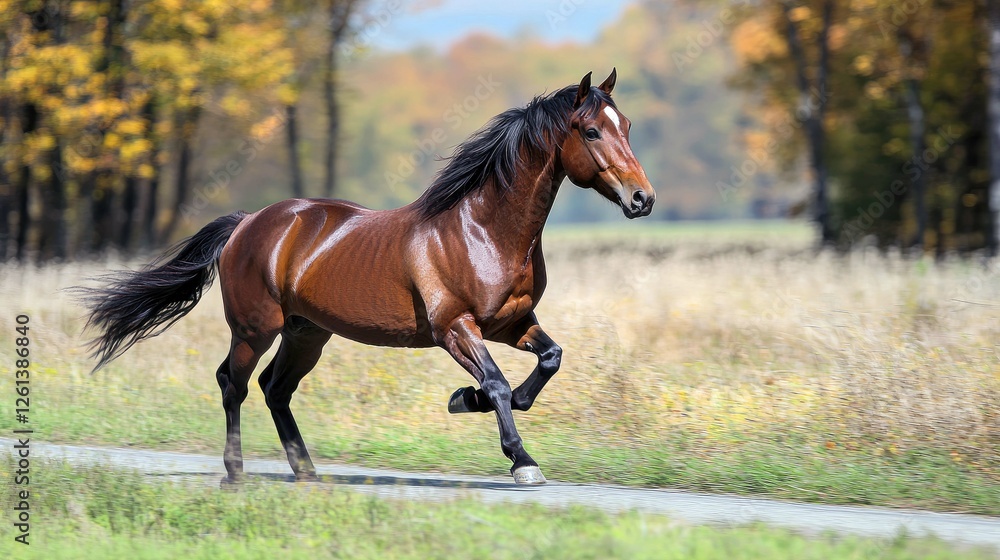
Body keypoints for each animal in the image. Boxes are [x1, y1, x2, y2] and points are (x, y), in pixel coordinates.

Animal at [79, 69, 656, 485]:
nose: (641, 199)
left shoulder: (512, 324)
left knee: (274, 389)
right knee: (233, 384)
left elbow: (547, 362)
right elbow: (494, 382)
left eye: (627, 126)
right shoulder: (455, 328)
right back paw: (235, 473)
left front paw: (465, 401)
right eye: (590, 130)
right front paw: (520, 458)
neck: (483, 230)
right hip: (255, 329)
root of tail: (247, 223)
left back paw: (307, 472)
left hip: (307, 332)